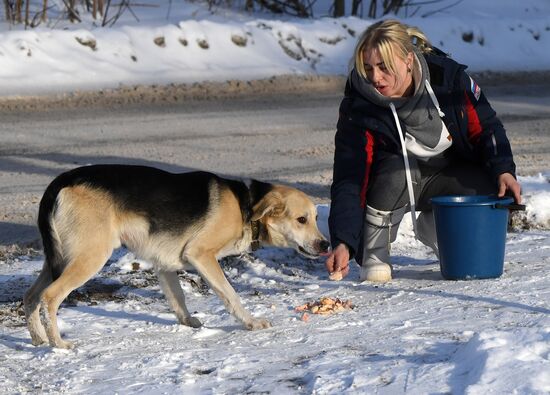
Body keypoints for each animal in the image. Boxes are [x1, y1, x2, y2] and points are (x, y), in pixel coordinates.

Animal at [23, 165, 330, 350]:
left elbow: (177, 297)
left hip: (59, 259)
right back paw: (58, 345)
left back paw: (38, 339)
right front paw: (251, 323)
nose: (326, 245)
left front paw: (187, 322)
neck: (246, 203)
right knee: (49, 297)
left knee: (31, 296)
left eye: (316, 218)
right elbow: (230, 295)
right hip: (89, 257)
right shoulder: (201, 255)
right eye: (301, 220)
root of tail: (60, 182)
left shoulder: (164, 264)